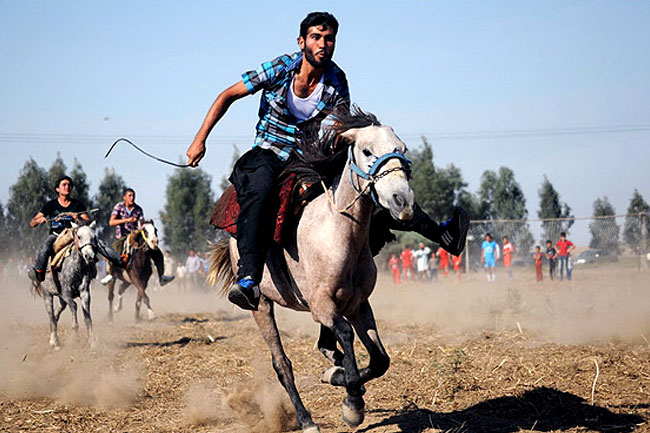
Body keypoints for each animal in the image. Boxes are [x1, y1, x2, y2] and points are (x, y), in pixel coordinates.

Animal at [209, 106, 416, 430]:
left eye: (402, 149)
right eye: (367, 150)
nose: (402, 201)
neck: (337, 231)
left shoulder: (358, 304)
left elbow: (380, 359)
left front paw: (340, 377)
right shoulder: (322, 305)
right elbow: (346, 334)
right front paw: (352, 404)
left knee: (326, 345)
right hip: (261, 304)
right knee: (282, 364)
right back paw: (306, 419)